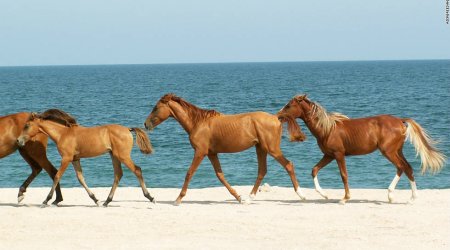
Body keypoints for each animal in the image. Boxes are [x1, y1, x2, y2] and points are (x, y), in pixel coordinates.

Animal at [17, 111, 155, 207]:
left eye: (27, 126)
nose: (18, 140)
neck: (62, 134)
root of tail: (127, 129)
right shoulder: (75, 159)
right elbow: (80, 178)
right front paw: (95, 199)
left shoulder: (66, 159)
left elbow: (57, 176)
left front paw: (46, 200)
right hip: (114, 156)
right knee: (118, 175)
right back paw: (106, 201)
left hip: (123, 156)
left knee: (137, 170)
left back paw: (150, 197)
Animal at [144, 94, 306, 205]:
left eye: (156, 108)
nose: (146, 124)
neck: (198, 123)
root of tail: (276, 117)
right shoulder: (212, 154)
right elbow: (220, 176)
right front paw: (238, 197)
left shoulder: (200, 152)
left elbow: (189, 173)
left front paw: (178, 199)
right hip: (261, 148)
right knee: (262, 171)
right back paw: (248, 198)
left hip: (271, 149)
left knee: (288, 165)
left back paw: (301, 195)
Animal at [278, 94, 446, 204]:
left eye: (289, 105)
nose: (278, 116)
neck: (327, 129)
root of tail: (400, 120)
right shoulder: (329, 155)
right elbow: (314, 170)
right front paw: (324, 195)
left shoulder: (339, 154)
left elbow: (344, 175)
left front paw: (345, 198)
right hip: (397, 151)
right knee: (407, 168)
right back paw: (408, 198)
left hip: (389, 151)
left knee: (401, 167)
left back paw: (394, 196)